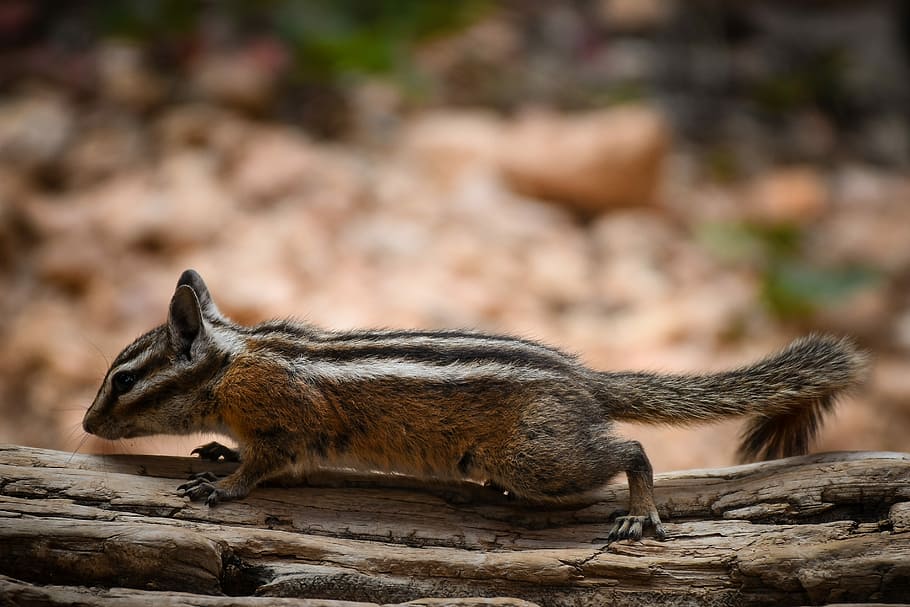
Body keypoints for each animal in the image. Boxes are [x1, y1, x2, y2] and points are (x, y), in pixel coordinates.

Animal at [83, 269, 868, 542]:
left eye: (123, 379)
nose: (86, 423)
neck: (235, 360)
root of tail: (584, 378)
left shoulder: (285, 416)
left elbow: (267, 464)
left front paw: (223, 482)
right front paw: (219, 448)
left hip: (537, 454)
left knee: (630, 449)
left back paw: (640, 508)